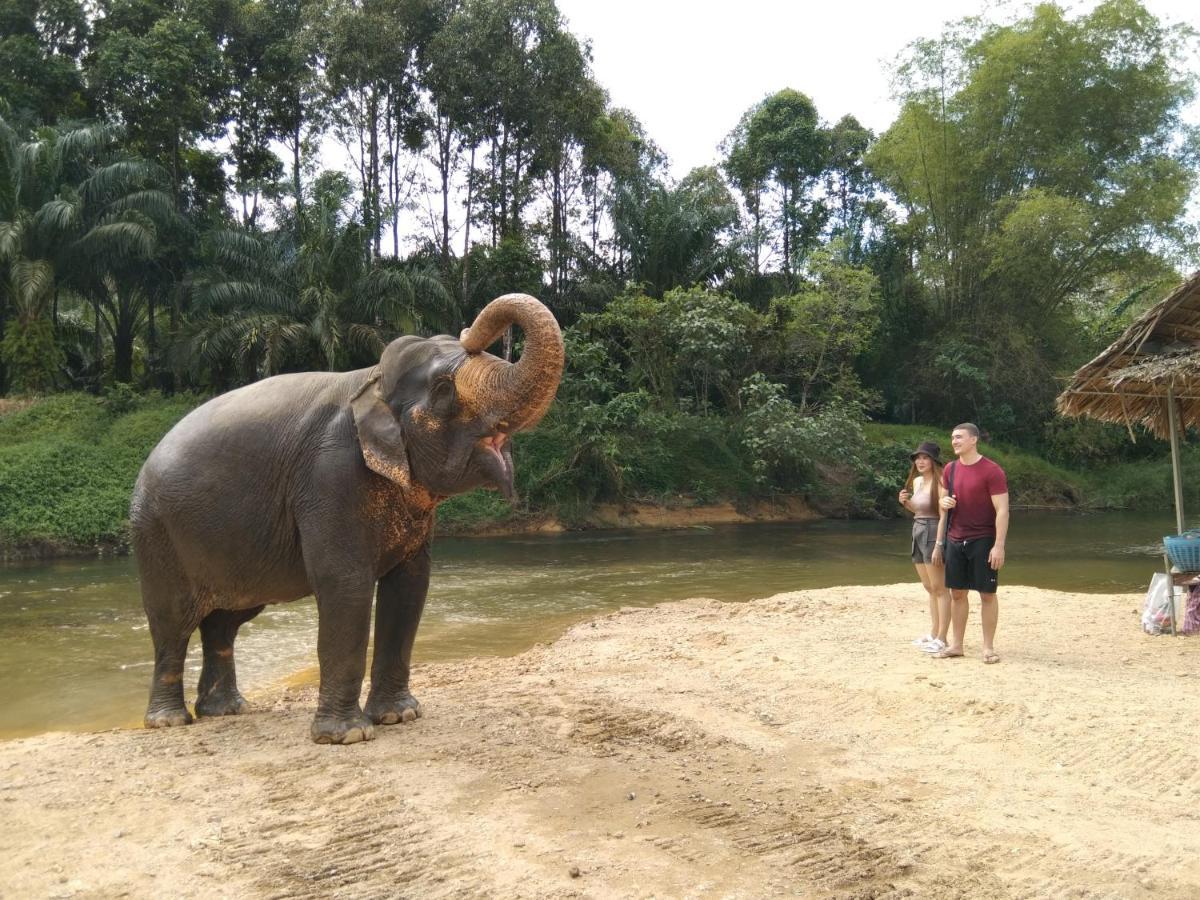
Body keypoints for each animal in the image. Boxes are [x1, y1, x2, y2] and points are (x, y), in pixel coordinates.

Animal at [131, 296, 561, 748]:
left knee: (225, 623)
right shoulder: (330, 475)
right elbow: (345, 583)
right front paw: (348, 736)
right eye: (444, 389)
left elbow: (410, 586)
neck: (371, 382)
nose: (467, 330)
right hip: (155, 534)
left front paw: (399, 716)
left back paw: (227, 710)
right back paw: (169, 721)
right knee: (172, 623)